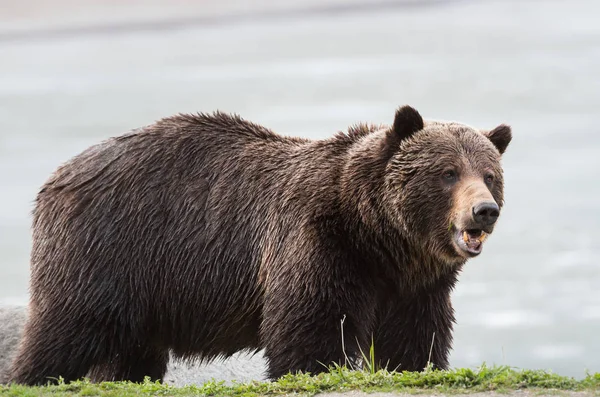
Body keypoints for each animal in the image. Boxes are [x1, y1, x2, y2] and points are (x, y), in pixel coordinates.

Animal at [7, 105, 508, 384]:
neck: (377, 236)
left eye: (489, 174)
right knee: (64, 330)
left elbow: (414, 340)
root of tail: (56, 176)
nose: (484, 210)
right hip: (106, 248)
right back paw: (32, 375)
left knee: (129, 351)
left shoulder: (412, 286)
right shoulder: (317, 242)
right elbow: (309, 331)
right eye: (447, 173)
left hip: (144, 289)